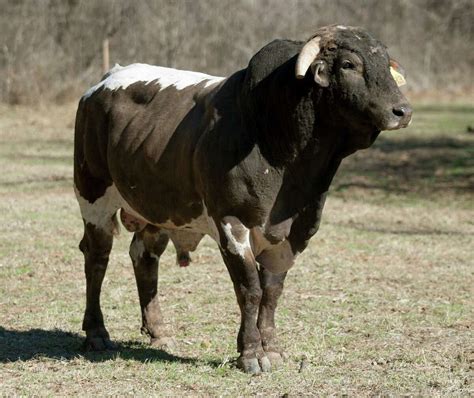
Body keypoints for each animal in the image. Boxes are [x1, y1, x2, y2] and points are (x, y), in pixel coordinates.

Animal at [73, 24, 412, 374]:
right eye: (348, 65)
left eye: (385, 64)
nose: (402, 110)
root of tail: (107, 77)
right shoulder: (232, 223)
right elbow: (250, 288)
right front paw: (251, 353)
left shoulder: (295, 231)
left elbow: (272, 290)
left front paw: (271, 348)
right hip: (92, 195)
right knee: (97, 258)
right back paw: (96, 333)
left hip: (158, 209)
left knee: (144, 256)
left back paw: (159, 331)